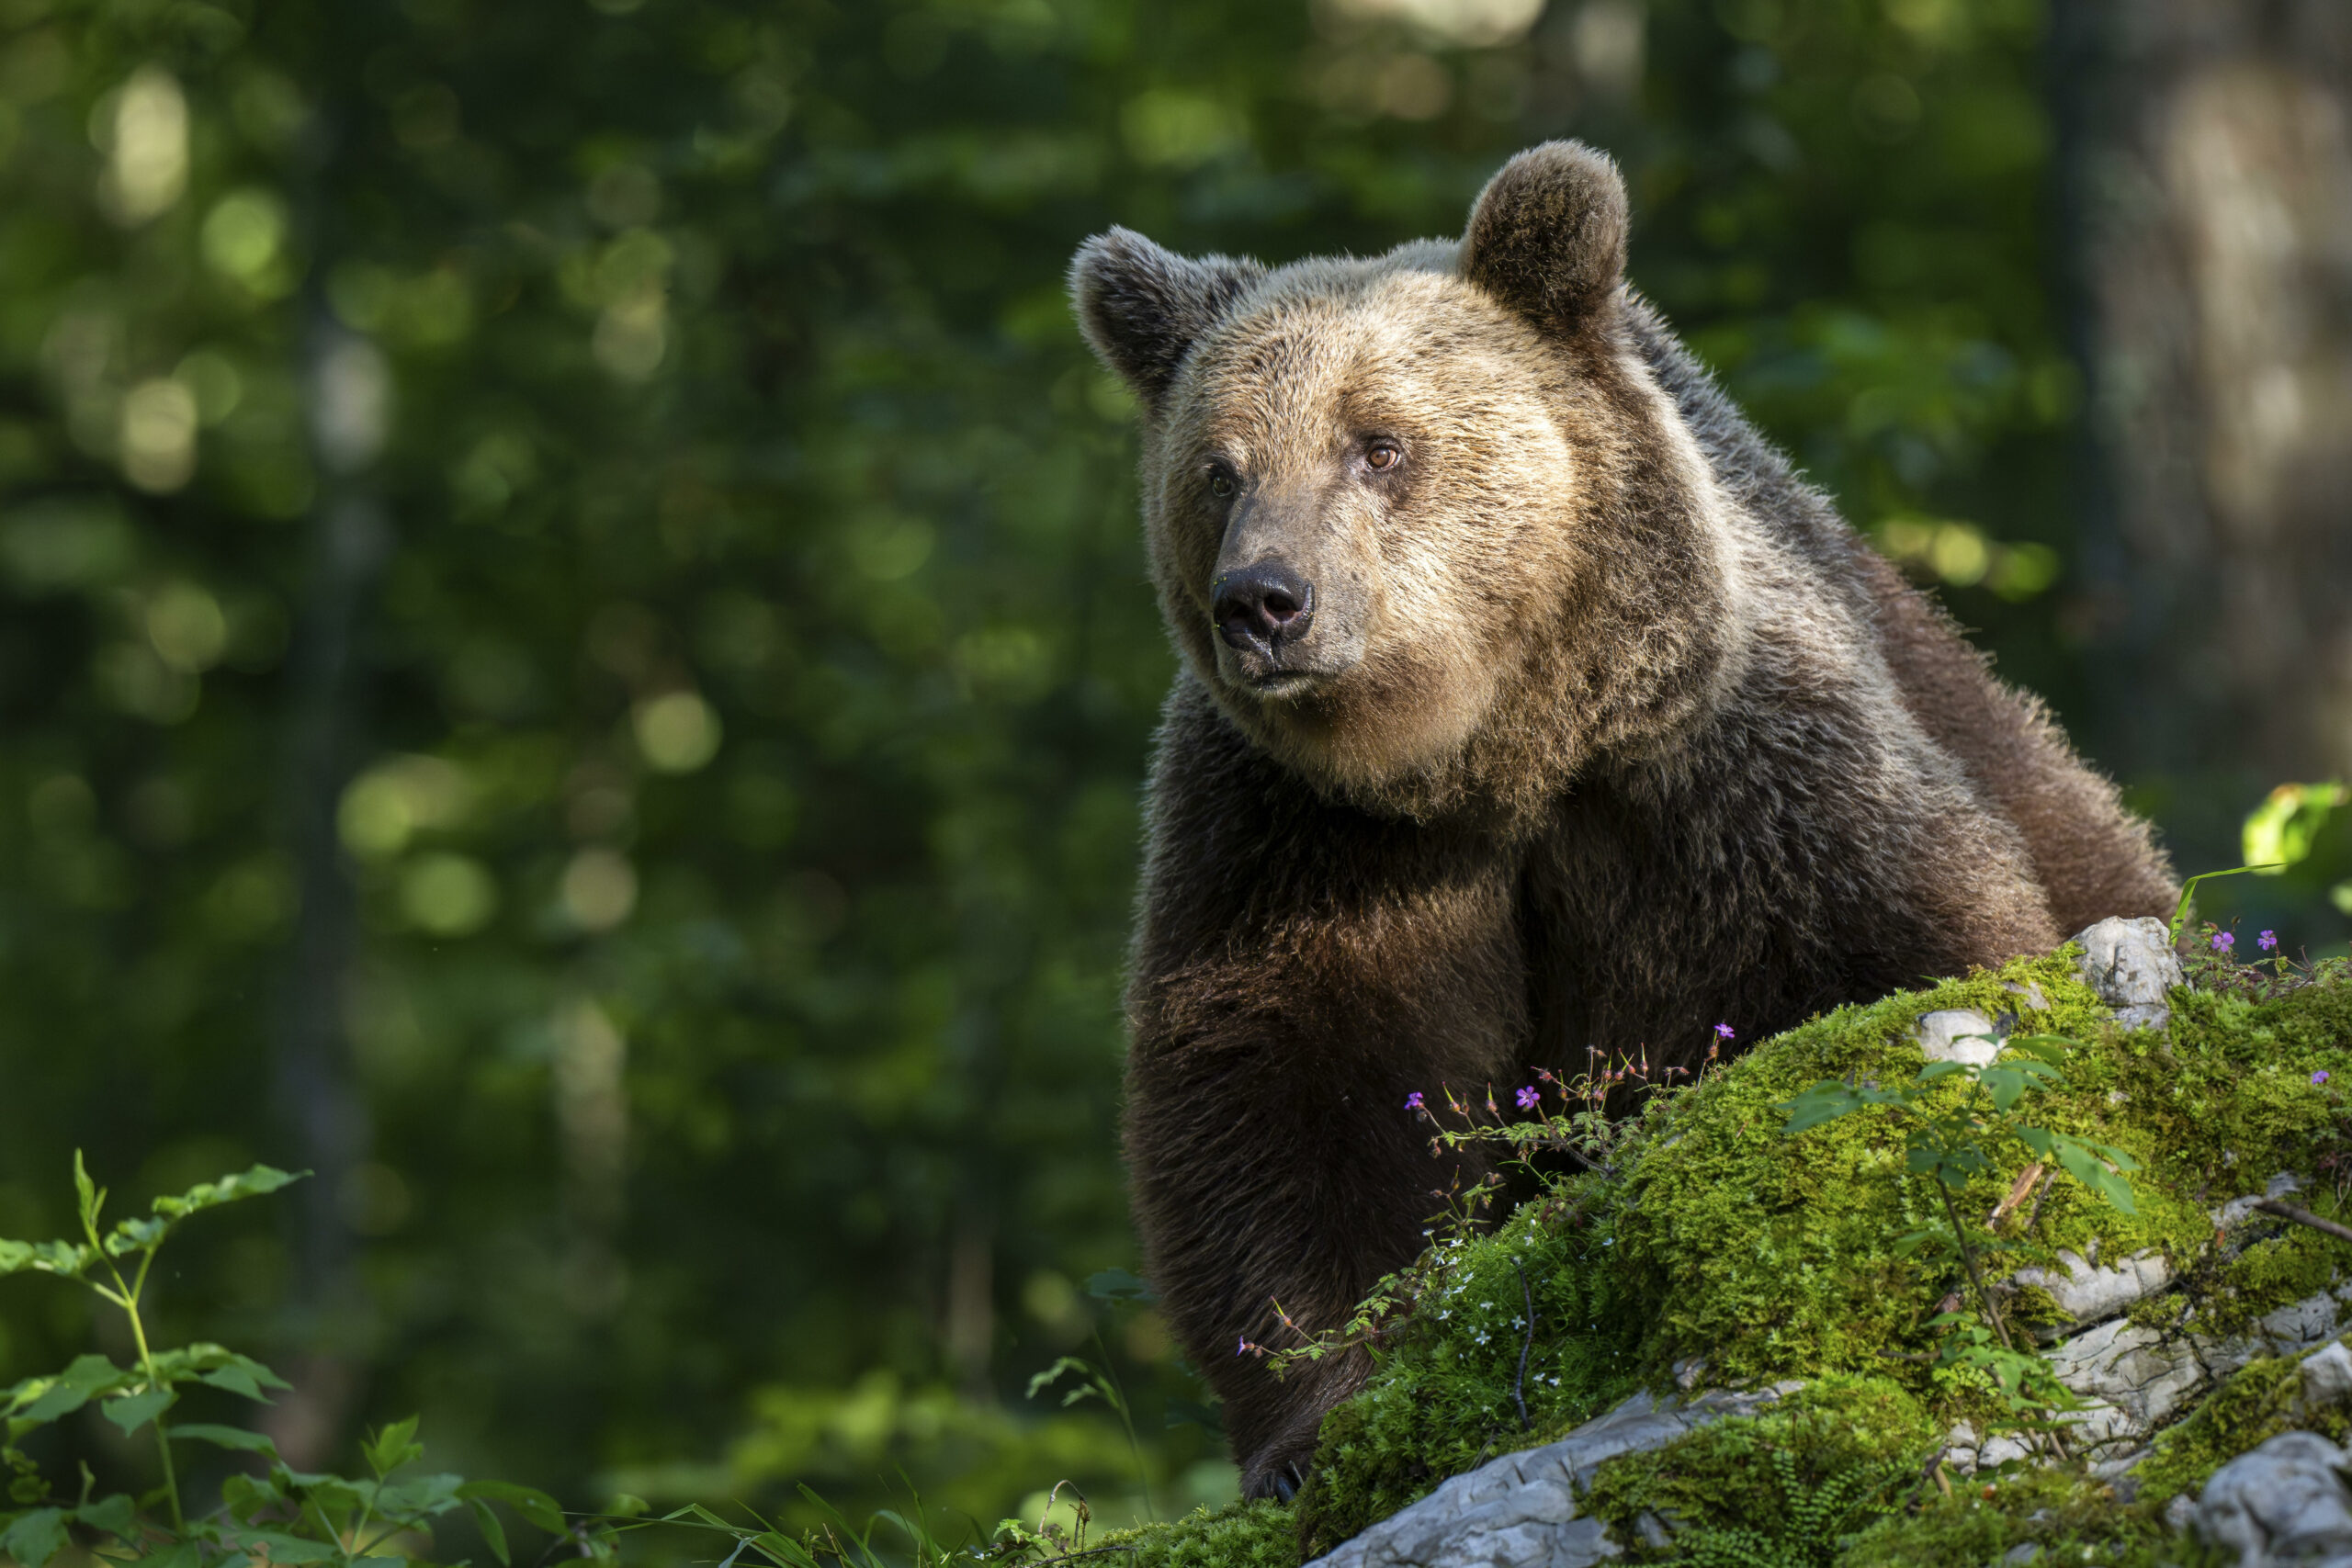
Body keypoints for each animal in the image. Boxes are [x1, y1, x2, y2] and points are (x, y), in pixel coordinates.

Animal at [1077, 141, 2173, 1504]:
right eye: (1219, 468)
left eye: (1378, 443)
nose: (1266, 602)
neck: (1496, 755)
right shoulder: (1298, 835)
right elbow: (1283, 1082)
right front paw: (1318, 1422)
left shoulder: (1725, 771)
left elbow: (1894, 958)